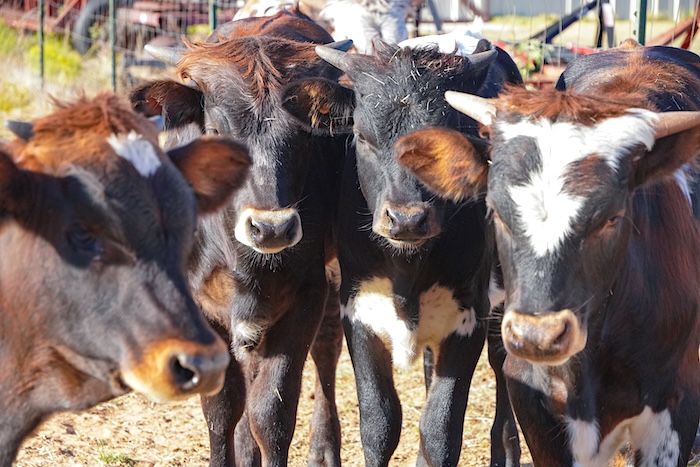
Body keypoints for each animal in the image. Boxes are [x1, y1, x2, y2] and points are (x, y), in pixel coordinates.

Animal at [129, 9, 352, 466]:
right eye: (216, 129)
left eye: (304, 134)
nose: (271, 228)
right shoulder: (203, 309)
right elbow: (222, 408)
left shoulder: (305, 298)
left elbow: (272, 413)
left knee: (326, 349)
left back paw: (323, 447)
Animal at [279, 39, 522, 466]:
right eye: (361, 135)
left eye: (448, 138)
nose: (408, 219)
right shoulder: (358, 310)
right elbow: (380, 423)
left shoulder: (470, 317)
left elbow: (441, 430)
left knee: (500, 361)